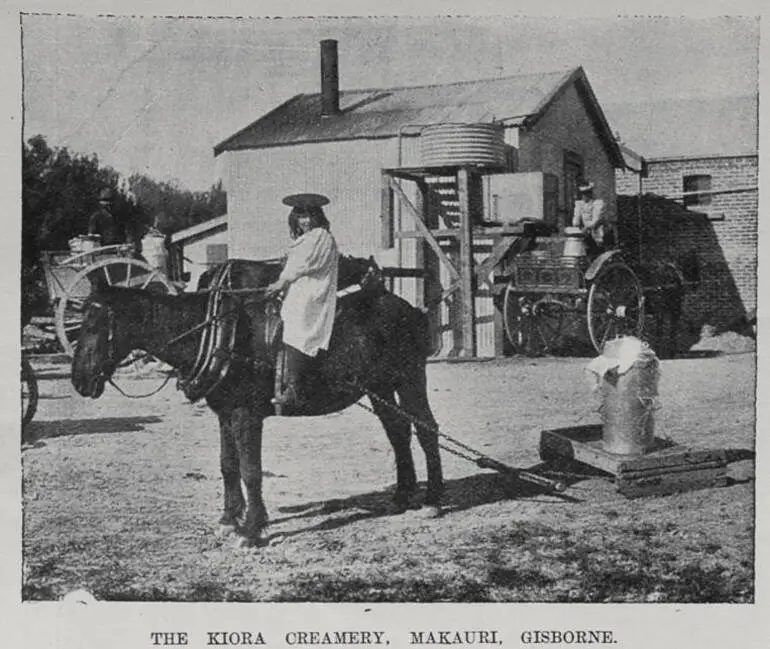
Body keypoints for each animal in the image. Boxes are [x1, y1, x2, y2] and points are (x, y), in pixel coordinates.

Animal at [73, 256, 444, 544]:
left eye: (93, 324)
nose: (78, 380)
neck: (216, 331)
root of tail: (411, 309)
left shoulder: (245, 415)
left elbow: (251, 470)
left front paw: (252, 529)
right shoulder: (224, 413)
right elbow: (228, 465)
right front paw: (229, 519)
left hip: (410, 378)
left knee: (426, 430)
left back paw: (432, 500)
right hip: (379, 387)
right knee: (398, 431)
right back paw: (401, 496)